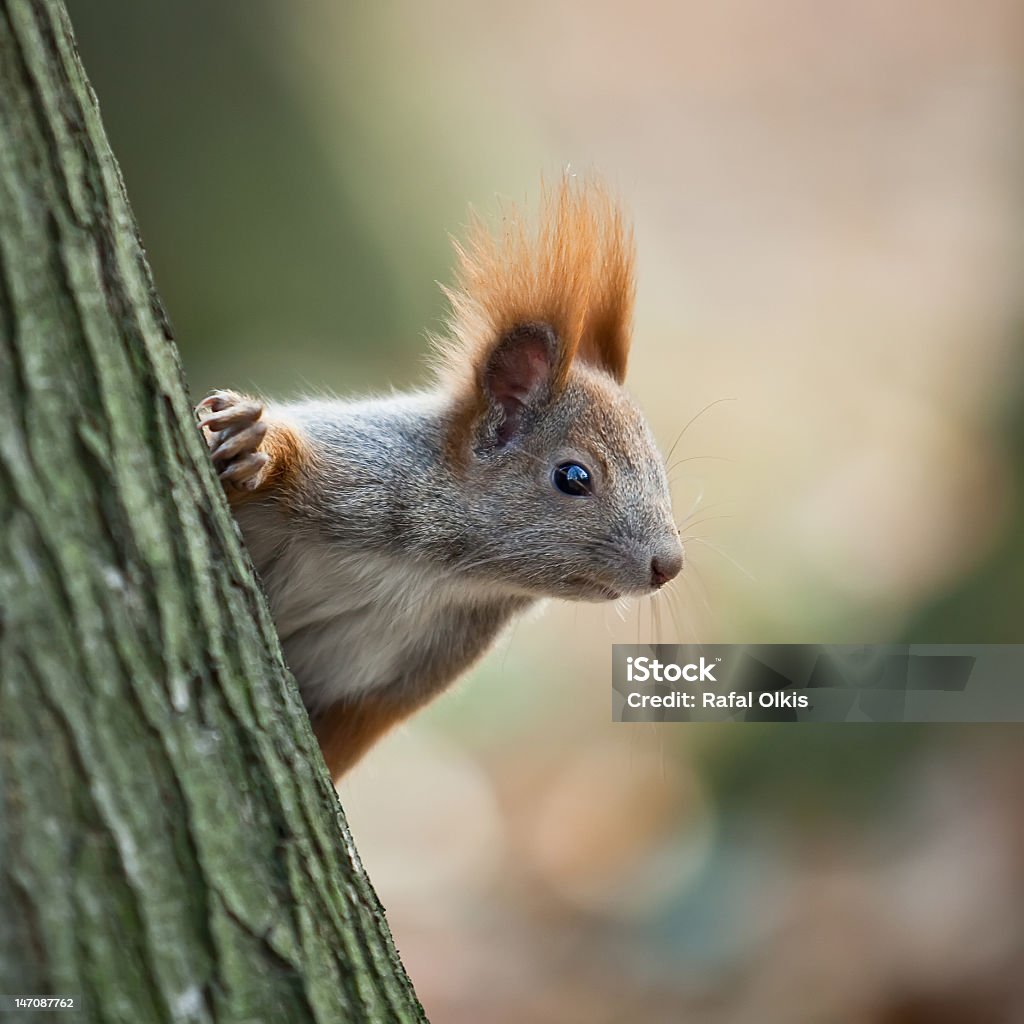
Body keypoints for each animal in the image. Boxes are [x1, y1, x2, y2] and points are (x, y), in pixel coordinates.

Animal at [195, 180, 684, 778]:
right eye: (573, 476)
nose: (669, 565)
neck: (442, 574)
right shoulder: (358, 473)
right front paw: (255, 445)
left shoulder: (396, 682)